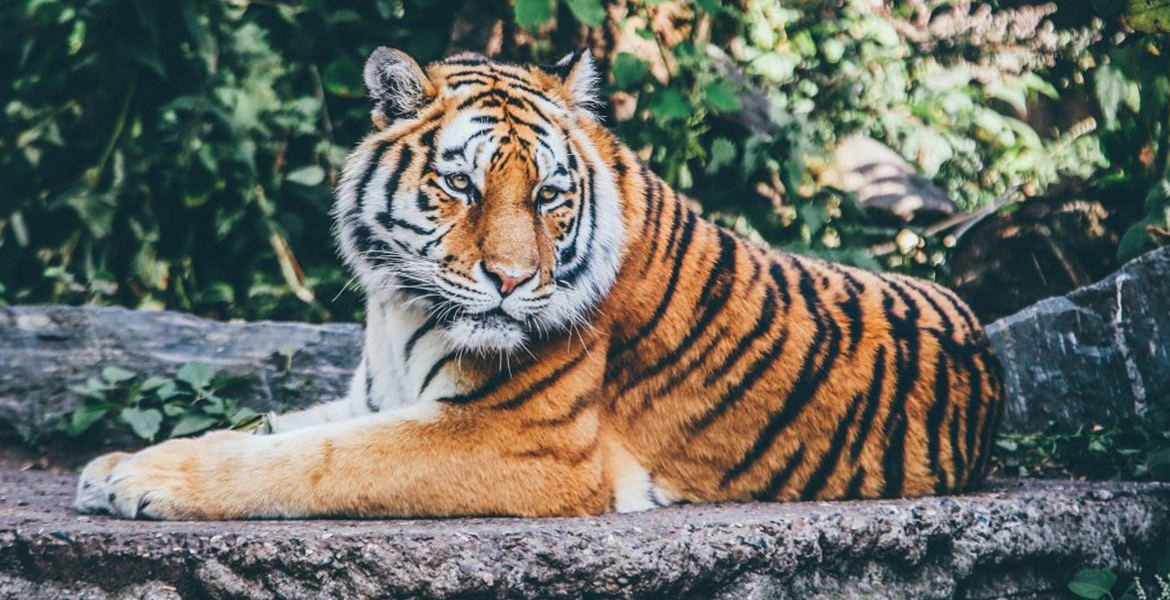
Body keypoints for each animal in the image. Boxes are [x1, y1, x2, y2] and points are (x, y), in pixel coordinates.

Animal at [73, 46, 1006, 516]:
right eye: (462, 185)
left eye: (551, 196)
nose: (514, 281)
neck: (397, 306)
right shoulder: (376, 395)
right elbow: (271, 428)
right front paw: (116, 463)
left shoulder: (518, 440)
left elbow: (313, 460)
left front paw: (143, 481)